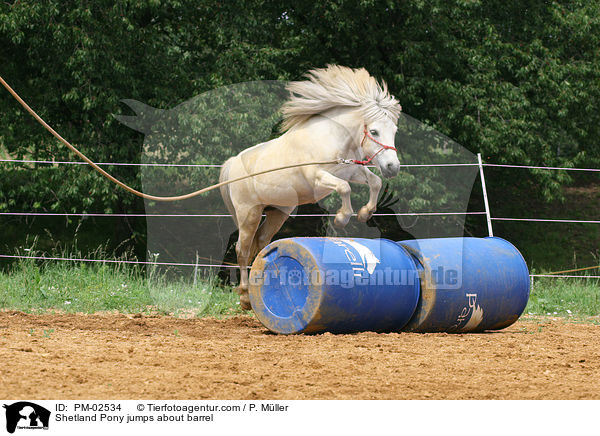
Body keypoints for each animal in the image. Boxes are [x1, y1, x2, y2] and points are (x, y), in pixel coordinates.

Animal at [220, 65, 404, 310]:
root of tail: (233, 163)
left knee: (261, 244)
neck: (331, 138)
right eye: (373, 131)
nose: (393, 167)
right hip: (248, 214)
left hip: (277, 212)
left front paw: (365, 213)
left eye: (394, 130)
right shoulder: (319, 178)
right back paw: (245, 297)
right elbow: (344, 188)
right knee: (243, 249)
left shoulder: (350, 170)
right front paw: (342, 217)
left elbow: (375, 182)